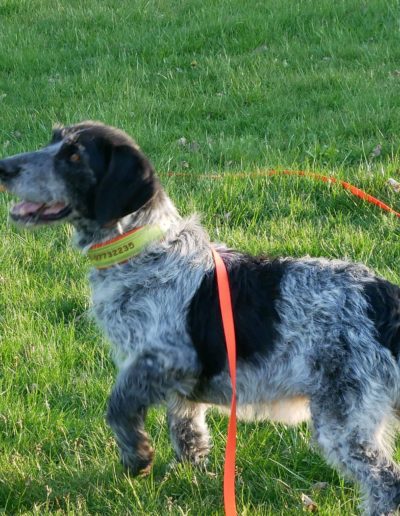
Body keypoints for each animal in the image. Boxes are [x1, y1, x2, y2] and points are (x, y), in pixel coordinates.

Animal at [1, 121, 400, 515]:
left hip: (345, 420)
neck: (143, 250)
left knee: (387, 484)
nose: (4, 168)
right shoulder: (180, 382)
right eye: (53, 140)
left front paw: (137, 456)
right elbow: (186, 425)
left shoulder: (166, 357)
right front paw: (190, 471)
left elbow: (118, 405)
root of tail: (383, 300)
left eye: (74, 156)